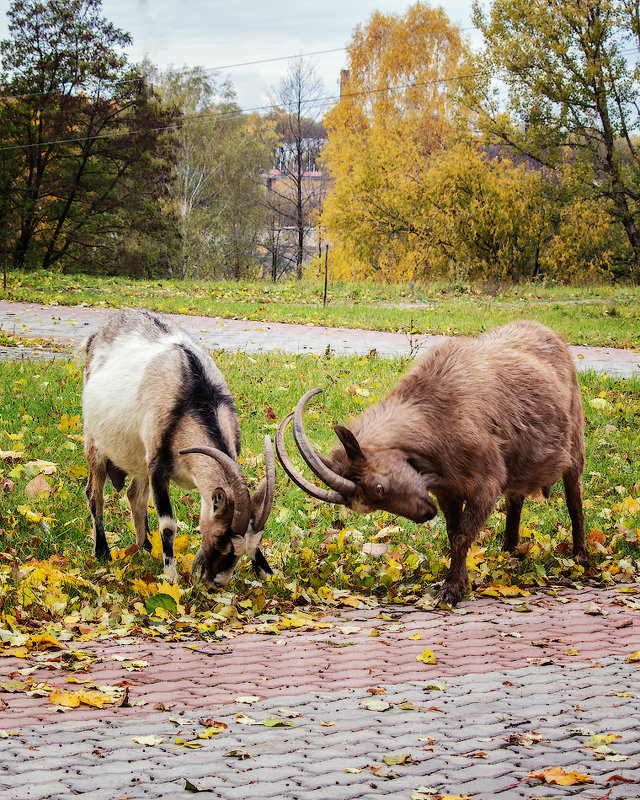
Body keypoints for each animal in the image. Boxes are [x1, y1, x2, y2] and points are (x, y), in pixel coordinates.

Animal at [81, 310, 274, 584]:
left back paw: (146, 547)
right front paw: (170, 577)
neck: (192, 399)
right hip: (95, 443)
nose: (218, 582)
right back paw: (103, 552)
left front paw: (267, 573)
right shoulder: (157, 467)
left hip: (138, 456)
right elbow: (168, 526)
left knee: (134, 495)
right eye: (221, 539)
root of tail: (96, 336)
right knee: (94, 494)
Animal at [278, 318, 588, 608]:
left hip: (575, 442)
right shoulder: (447, 490)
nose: (425, 514)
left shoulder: (485, 485)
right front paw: (457, 583)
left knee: (574, 499)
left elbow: (462, 535)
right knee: (516, 499)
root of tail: (549, 334)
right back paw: (508, 551)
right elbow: (453, 533)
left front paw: (450, 591)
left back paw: (581, 557)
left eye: (378, 488)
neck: (436, 416)